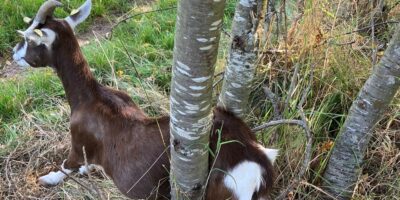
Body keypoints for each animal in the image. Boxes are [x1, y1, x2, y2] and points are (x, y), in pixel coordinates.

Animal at [14, 0, 280, 199]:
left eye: (28, 39)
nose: (14, 54)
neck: (91, 97)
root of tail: (254, 158)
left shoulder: (78, 142)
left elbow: (66, 166)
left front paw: (47, 178)